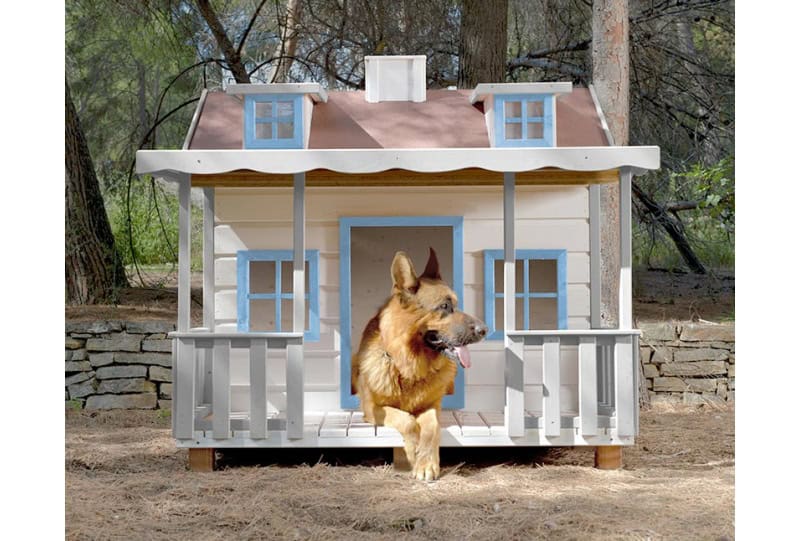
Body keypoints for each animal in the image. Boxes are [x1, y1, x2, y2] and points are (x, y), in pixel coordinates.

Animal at [352, 247, 488, 478]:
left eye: (457, 304)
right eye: (444, 306)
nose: (485, 330)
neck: (408, 367)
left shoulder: (432, 407)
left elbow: (431, 427)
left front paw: (426, 462)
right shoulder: (373, 408)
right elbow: (406, 420)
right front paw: (413, 451)